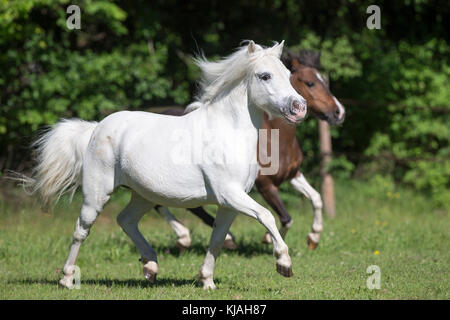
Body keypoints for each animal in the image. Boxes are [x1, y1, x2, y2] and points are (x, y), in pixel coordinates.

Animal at [18, 40, 306, 290]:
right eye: (265, 76)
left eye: (288, 74)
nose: (299, 107)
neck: (227, 131)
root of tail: (95, 128)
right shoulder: (229, 194)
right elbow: (267, 215)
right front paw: (284, 264)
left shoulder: (229, 203)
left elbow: (217, 239)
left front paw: (206, 281)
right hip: (96, 194)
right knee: (81, 230)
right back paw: (67, 278)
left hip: (143, 195)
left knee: (126, 220)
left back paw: (151, 266)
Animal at [155, 48, 344, 251]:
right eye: (310, 83)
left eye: (324, 81)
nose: (339, 112)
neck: (277, 141)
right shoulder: (265, 185)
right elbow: (286, 218)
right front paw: (269, 239)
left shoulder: (293, 174)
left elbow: (316, 198)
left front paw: (313, 238)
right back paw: (206, 238)